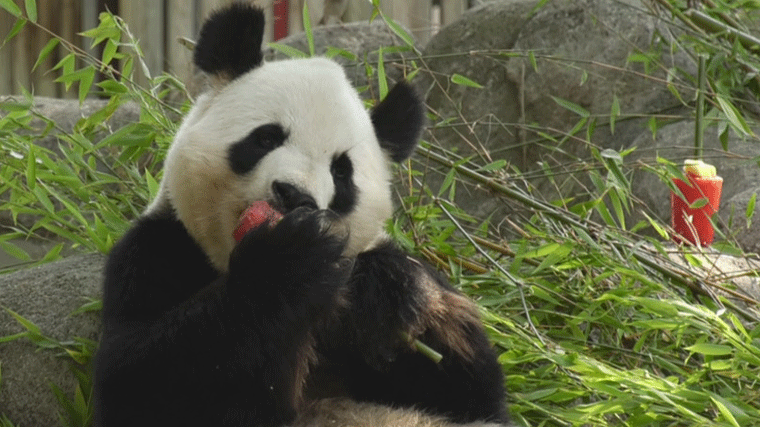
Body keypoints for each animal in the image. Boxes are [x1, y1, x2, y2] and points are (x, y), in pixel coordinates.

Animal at [93, 4, 510, 427]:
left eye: (341, 171)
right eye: (266, 138)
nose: (294, 195)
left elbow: (469, 393)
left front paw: (387, 285)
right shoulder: (159, 248)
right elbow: (147, 380)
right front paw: (289, 260)